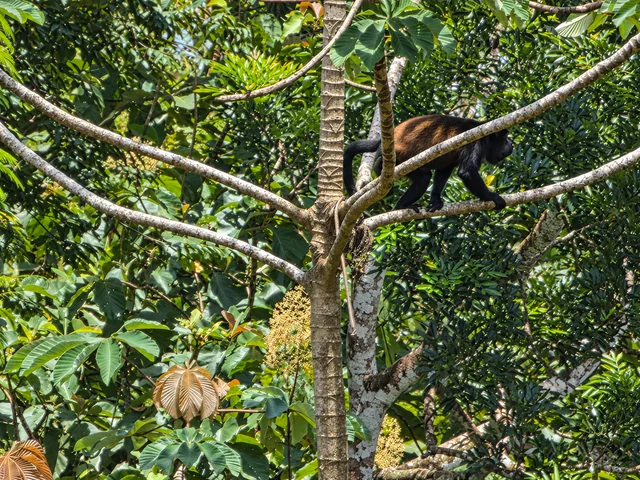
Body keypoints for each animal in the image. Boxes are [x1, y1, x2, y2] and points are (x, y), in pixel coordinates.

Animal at [343, 114, 513, 211]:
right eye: (505, 138)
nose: (511, 144)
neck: (485, 133)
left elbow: (444, 170)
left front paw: (435, 199)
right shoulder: (474, 142)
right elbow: (467, 172)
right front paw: (492, 197)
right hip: (400, 158)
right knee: (423, 178)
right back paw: (400, 204)